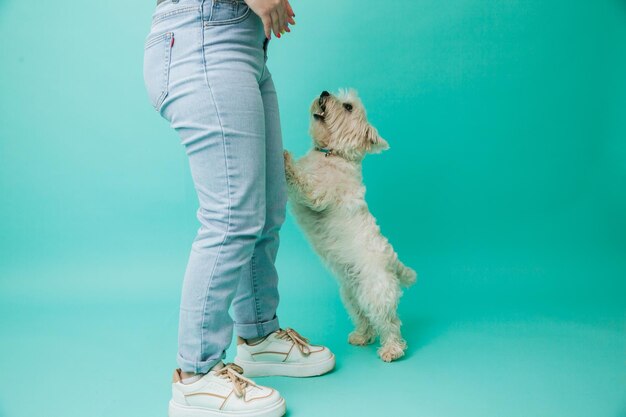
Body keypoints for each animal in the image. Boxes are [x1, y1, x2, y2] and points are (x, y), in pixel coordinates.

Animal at [282, 88, 414, 360]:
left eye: (348, 107)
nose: (323, 92)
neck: (331, 154)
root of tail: (391, 259)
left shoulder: (317, 193)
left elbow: (302, 180)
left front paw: (285, 157)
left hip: (377, 291)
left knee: (389, 322)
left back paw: (391, 350)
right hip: (352, 293)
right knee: (363, 317)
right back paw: (361, 336)